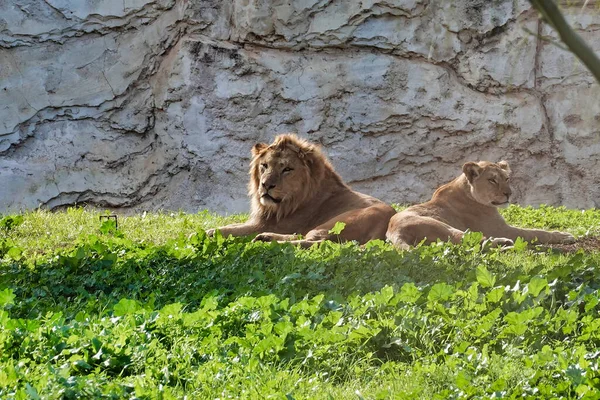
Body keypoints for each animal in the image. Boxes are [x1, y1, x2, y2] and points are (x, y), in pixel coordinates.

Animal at [207, 134, 398, 247]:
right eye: (264, 166)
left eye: (287, 169)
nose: (265, 185)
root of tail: (386, 223)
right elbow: (230, 225)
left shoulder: (264, 224)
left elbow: (230, 230)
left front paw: (206, 232)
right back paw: (266, 238)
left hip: (334, 224)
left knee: (317, 241)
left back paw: (267, 242)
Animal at [384, 160, 576, 248]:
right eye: (492, 180)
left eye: (507, 178)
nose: (509, 193)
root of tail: (394, 232)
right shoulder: (500, 228)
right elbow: (534, 232)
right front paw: (564, 236)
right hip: (441, 226)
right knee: (473, 241)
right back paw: (504, 242)